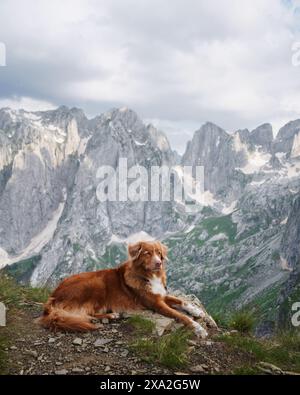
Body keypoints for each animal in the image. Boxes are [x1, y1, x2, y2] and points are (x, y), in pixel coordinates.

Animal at [37, 240, 209, 338]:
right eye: (147, 253)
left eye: (159, 253)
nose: (159, 263)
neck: (149, 276)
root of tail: (53, 296)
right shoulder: (156, 304)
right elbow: (181, 316)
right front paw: (199, 329)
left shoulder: (160, 295)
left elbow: (181, 301)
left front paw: (197, 311)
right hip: (96, 283)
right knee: (85, 313)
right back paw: (111, 315)